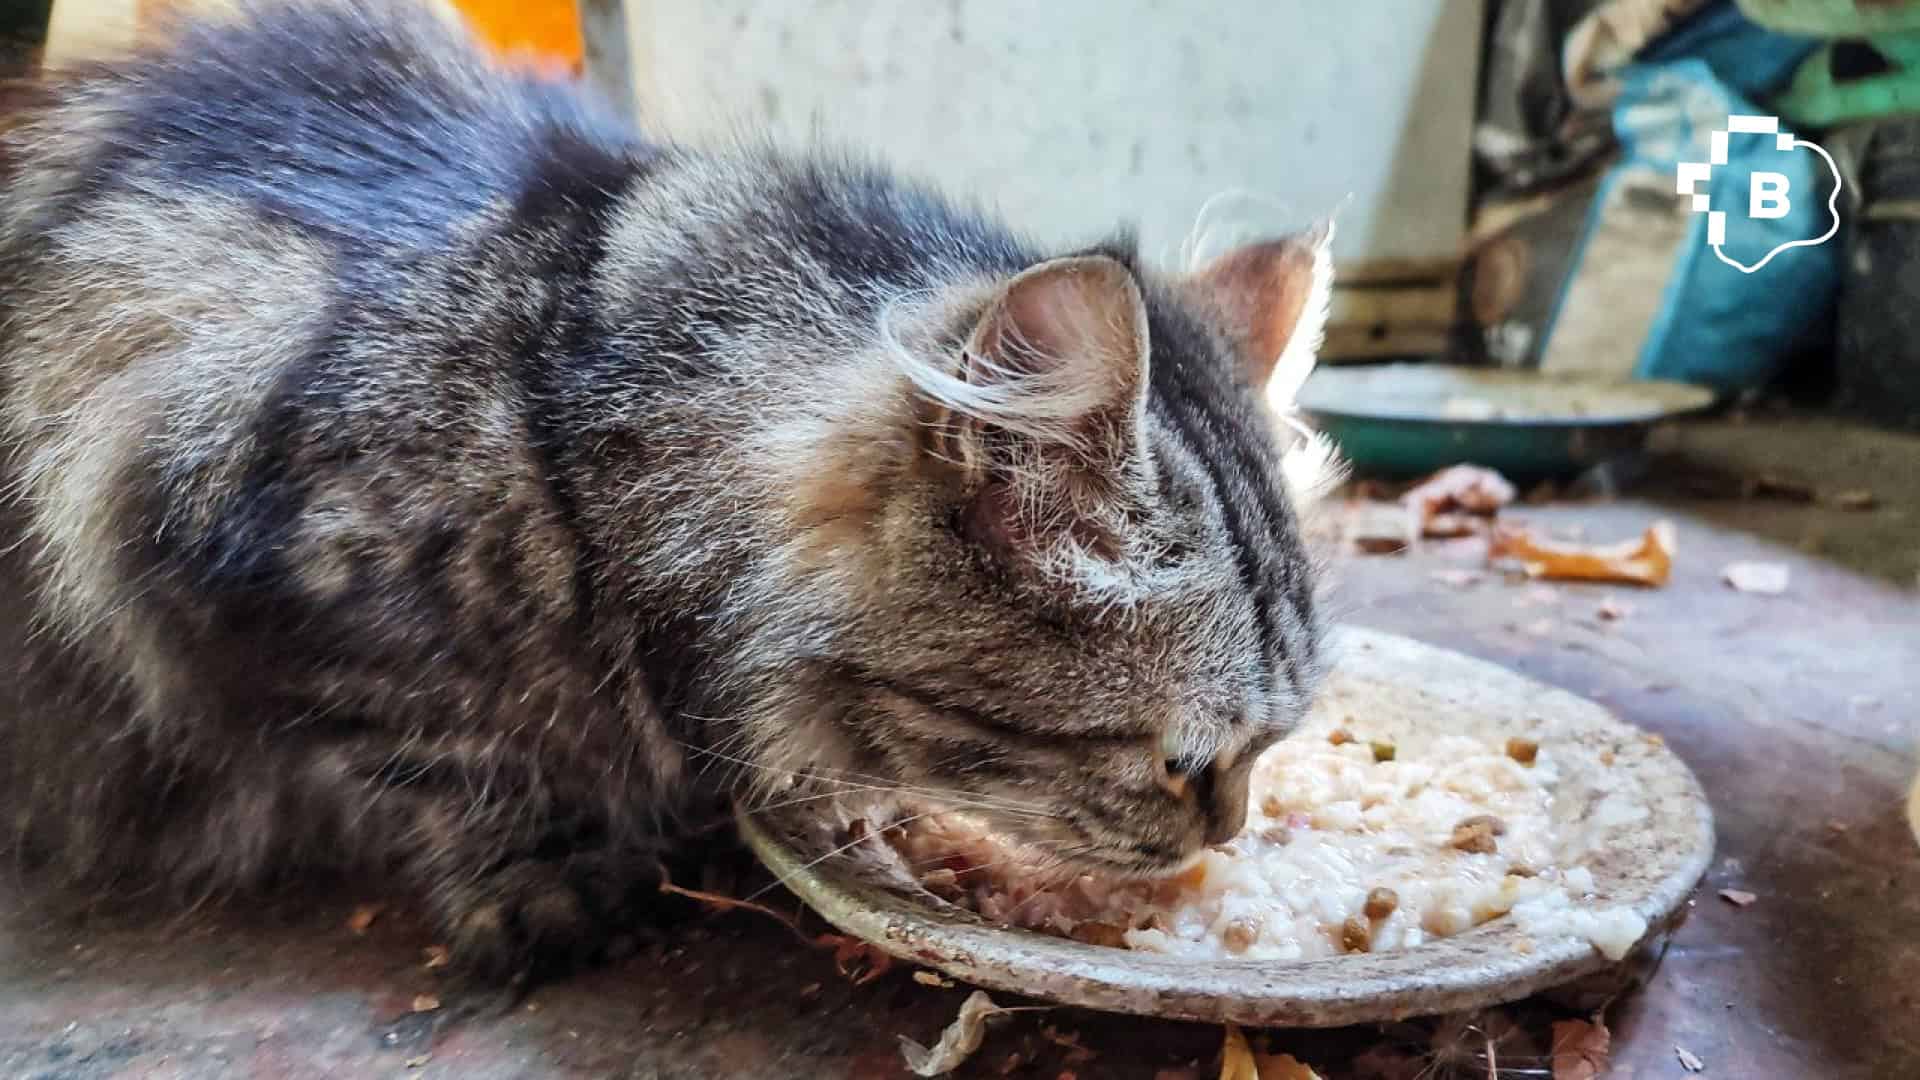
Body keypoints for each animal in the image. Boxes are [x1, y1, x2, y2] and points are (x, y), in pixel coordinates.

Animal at [3, 2, 1336, 976]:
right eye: (1179, 759)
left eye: (1275, 746)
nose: (1230, 829)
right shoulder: (239, 559)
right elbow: (432, 748)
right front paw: (538, 882)